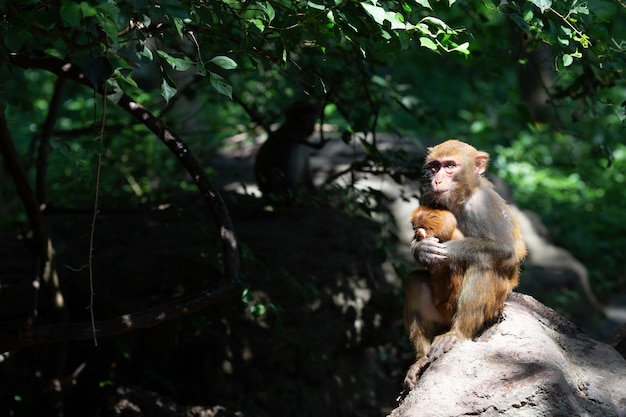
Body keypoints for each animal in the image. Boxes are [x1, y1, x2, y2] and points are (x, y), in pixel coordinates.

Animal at [402, 139, 524, 386]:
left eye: (450, 166)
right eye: (435, 166)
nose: (437, 180)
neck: (460, 199)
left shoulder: (485, 205)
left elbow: (505, 250)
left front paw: (449, 249)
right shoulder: (429, 198)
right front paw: (422, 249)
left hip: (495, 304)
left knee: (482, 266)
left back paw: (457, 334)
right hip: (441, 314)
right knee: (414, 281)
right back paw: (421, 358)